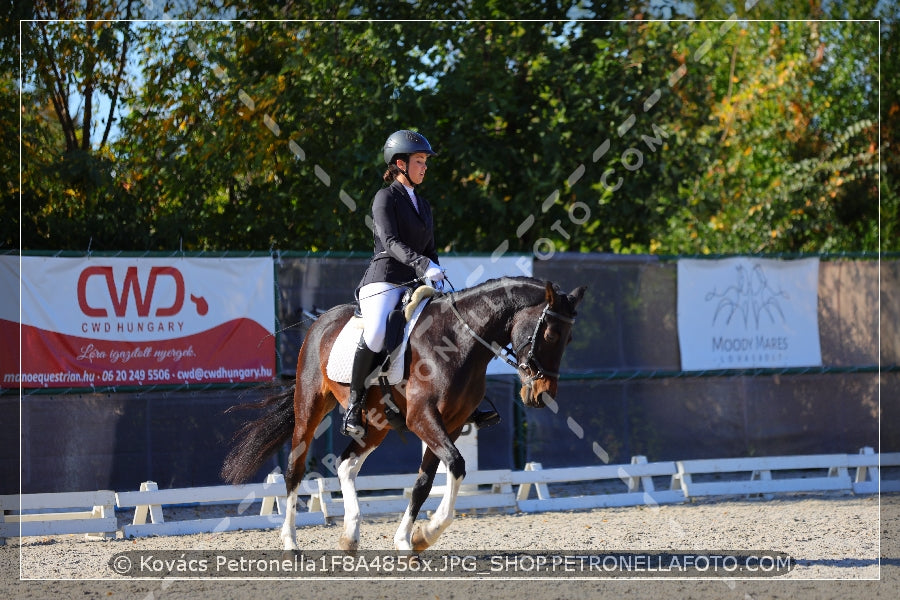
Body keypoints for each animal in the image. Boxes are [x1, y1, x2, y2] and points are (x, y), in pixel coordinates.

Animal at [221, 276, 588, 552]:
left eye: (570, 338)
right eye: (551, 333)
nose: (541, 395)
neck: (459, 339)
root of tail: (320, 322)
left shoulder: (451, 424)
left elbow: (424, 484)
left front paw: (410, 540)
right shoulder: (422, 418)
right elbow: (456, 465)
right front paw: (428, 532)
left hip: (376, 423)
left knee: (346, 463)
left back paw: (350, 536)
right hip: (310, 405)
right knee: (294, 468)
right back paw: (290, 542)